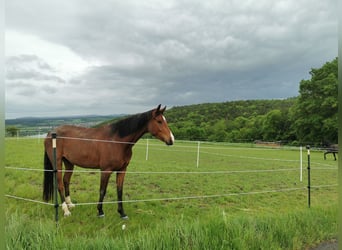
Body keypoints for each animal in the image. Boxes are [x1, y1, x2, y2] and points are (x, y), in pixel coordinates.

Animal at [43, 104, 175, 218]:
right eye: (159, 121)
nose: (171, 140)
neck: (117, 141)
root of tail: (50, 133)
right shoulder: (106, 170)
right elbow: (103, 190)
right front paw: (100, 211)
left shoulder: (122, 170)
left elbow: (120, 190)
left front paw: (122, 213)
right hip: (57, 163)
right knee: (59, 184)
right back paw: (66, 210)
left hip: (69, 163)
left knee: (66, 181)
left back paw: (70, 204)